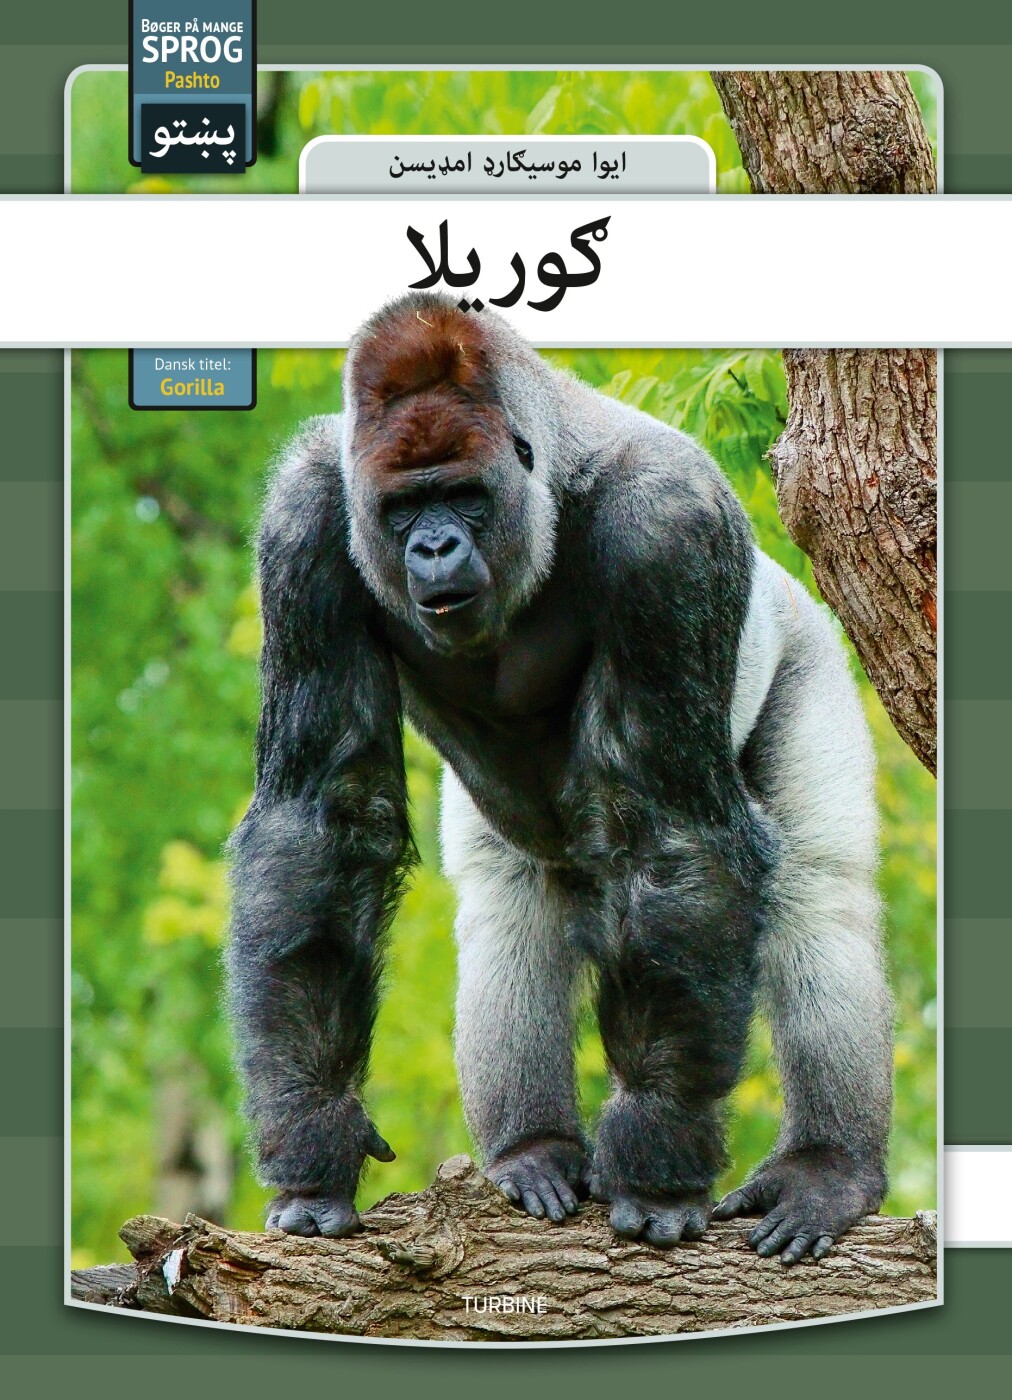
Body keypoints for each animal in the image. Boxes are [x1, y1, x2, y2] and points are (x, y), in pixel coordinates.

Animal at [226, 292, 894, 1263]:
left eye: (464, 496)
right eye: (403, 508)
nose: (433, 548)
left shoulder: (670, 526)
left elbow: (671, 834)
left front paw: (657, 1162)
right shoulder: (305, 521)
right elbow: (319, 823)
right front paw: (315, 1139)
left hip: (804, 640)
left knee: (819, 893)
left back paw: (827, 1168)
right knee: (509, 905)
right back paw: (531, 1150)